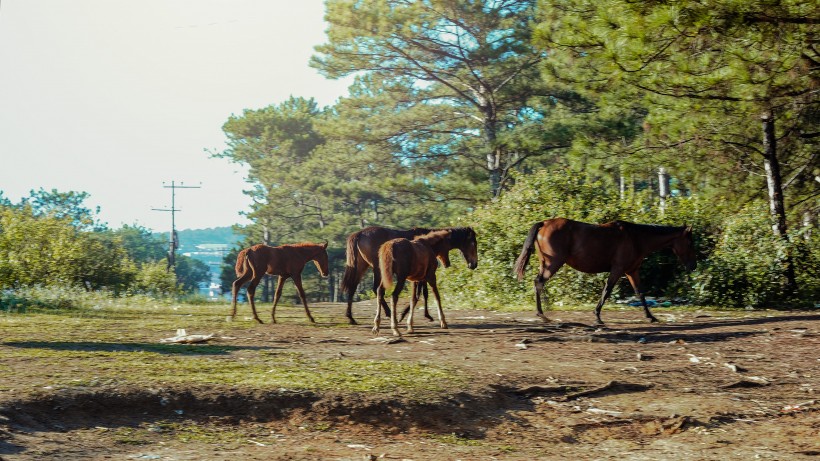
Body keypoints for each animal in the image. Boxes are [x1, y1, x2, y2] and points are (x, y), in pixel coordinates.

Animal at [342, 226, 480, 324]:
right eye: (473, 243)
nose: (474, 264)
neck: (427, 242)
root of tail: (359, 234)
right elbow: (420, 294)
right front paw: (405, 315)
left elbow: (423, 293)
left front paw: (426, 315)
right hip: (377, 268)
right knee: (375, 288)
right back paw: (388, 313)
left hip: (362, 266)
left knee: (353, 287)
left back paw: (351, 317)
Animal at [516, 218, 696, 324]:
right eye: (689, 243)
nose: (693, 266)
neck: (636, 238)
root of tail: (544, 223)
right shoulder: (618, 269)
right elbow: (607, 291)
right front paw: (597, 316)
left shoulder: (632, 271)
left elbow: (640, 293)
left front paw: (651, 316)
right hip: (554, 263)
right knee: (539, 282)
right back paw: (542, 314)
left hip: (546, 263)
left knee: (539, 283)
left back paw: (543, 311)